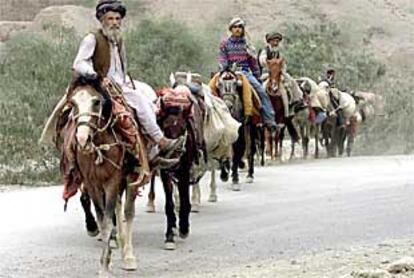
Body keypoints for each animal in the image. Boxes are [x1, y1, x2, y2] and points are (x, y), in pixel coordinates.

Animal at [61, 77, 139, 274]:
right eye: (73, 103)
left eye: (96, 102)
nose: (82, 140)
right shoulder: (92, 183)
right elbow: (102, 219)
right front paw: (106, 262)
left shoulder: (112, 181)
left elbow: (109, 219)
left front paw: (105, 266)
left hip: (131, 177)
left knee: (128, 211)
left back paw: (129, 256)